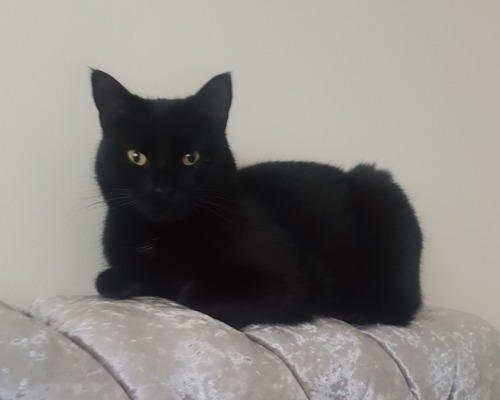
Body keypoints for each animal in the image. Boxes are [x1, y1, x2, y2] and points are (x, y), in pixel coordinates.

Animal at [91, 70, 422, 330]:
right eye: (136, 156)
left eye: (190, 157)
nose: (163, 189)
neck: (163, 235)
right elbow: (106, 280)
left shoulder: (289, 285)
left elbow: (192, 293)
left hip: (376, 186)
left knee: (403, 306)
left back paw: (352, 308)